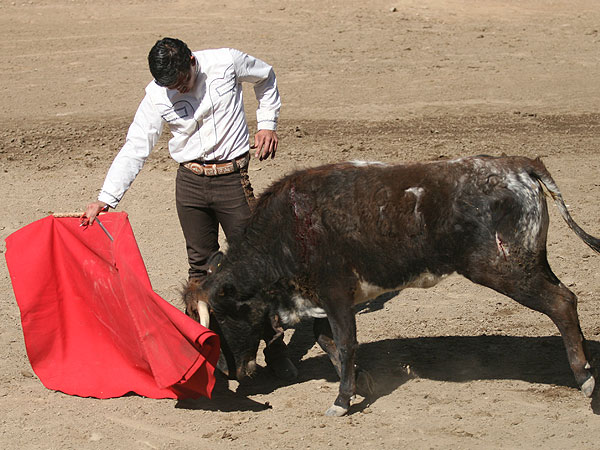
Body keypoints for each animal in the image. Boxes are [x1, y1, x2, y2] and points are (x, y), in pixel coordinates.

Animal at [185, 155, 596, 414]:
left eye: (220, 320)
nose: (233, 374)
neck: (289, 228)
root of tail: (520, 166)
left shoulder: (335, 294)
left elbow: (345, 342)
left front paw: (341, 401)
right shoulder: (322, 300)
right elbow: (328, 341)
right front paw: (361, 384)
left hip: (504, 268)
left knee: (562, 303)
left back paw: (585, 379)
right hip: (532, 262)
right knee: (567, 300)